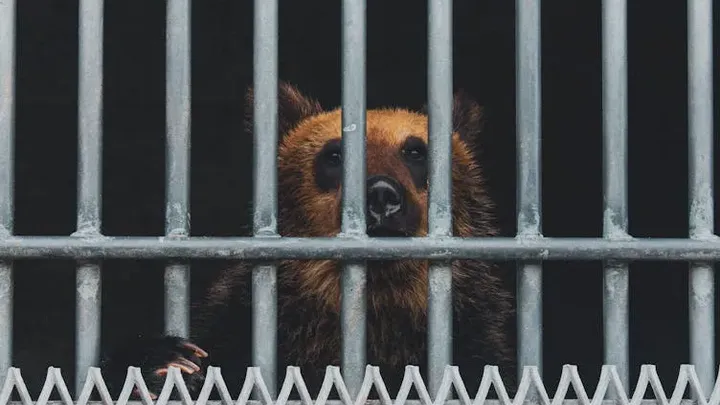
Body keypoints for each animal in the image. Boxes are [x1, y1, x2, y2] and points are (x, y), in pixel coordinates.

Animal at [101, 82, 516, 400]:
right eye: (334, 155)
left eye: (415, 151)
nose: (381, 196)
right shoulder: (238, 322)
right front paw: (162, 365)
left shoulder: (478, 340)